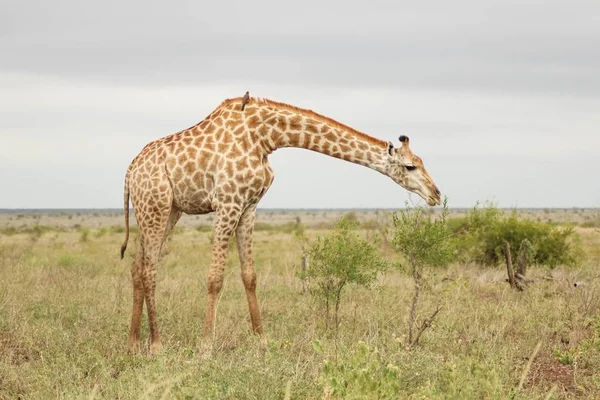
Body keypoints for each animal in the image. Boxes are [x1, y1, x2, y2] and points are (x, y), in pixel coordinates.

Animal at [122, 93, 440, 354]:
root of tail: (130, 172)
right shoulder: (227, 203)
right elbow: (215, 278)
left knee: (138, 265)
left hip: (167, 210)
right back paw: (156, 345)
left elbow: (249, 276)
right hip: (156, 205)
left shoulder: (248, 206)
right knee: (149, 269)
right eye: (411, 166)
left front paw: (262, 341)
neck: (265, 137)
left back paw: (133, 343)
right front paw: (205, 347)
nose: (435, 194)